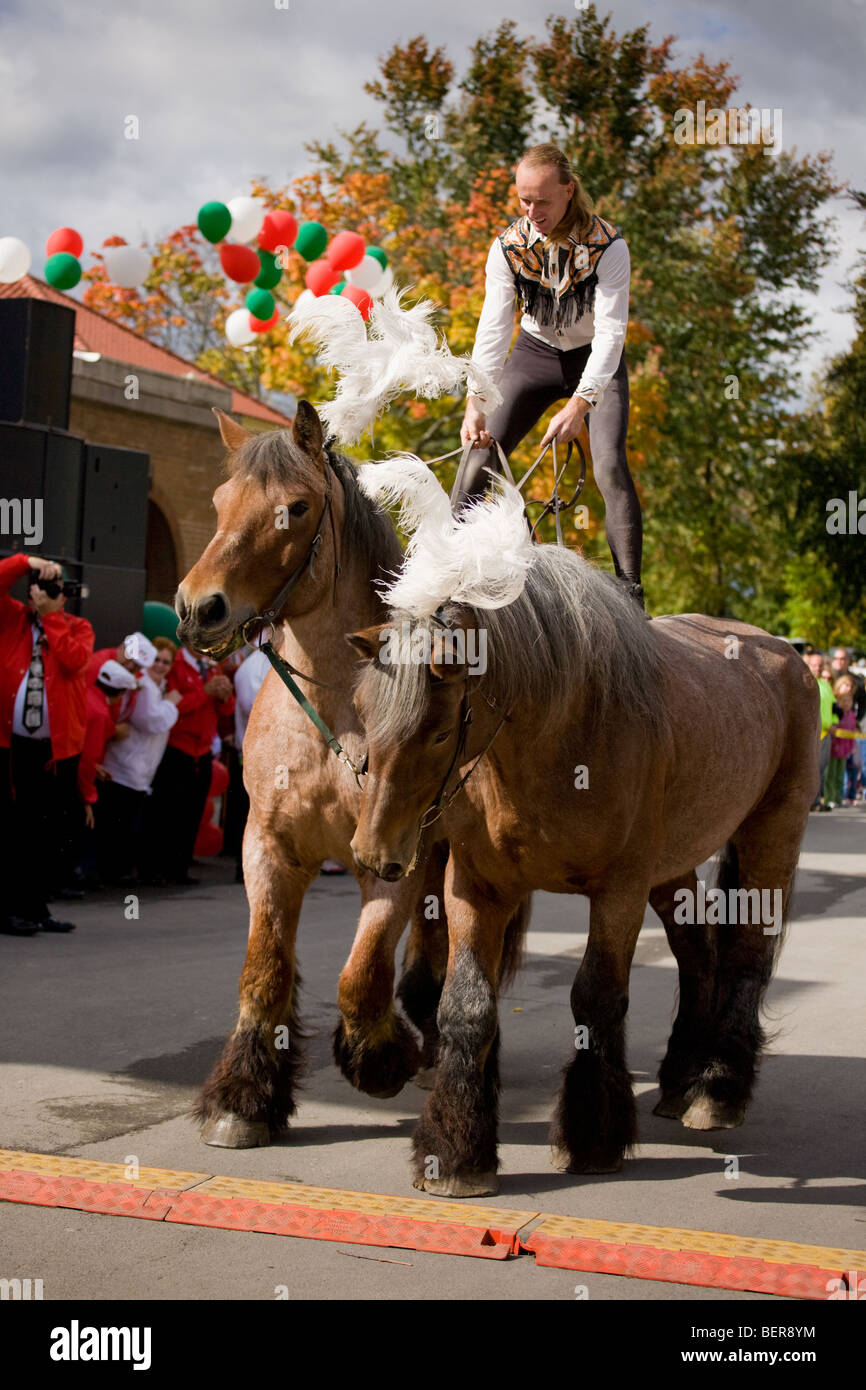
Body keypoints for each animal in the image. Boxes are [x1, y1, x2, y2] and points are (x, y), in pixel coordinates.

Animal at [173, 405, 467, 1150]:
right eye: (219, 501)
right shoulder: (266, 846)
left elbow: (360, 975)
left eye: (296, 508)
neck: (336, 710)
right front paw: (243, 1096)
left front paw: (379, 1057)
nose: (197, 609)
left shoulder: (390, 859)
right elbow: (265, 966)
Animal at [348, 547, 822, 1200]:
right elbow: (466, 1006)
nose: (373, 854)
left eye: (440, 731)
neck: (562, 733)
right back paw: (681, 1077)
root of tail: (785, 656)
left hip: (769, 836)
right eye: (364, 713)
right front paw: (456, 1151)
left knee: (747, 956)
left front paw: (593, 1136)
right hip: (671, 868)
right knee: (697, 952)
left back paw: (719, 1087)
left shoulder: (618, 890)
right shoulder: (476, 888)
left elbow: (596, 1000)